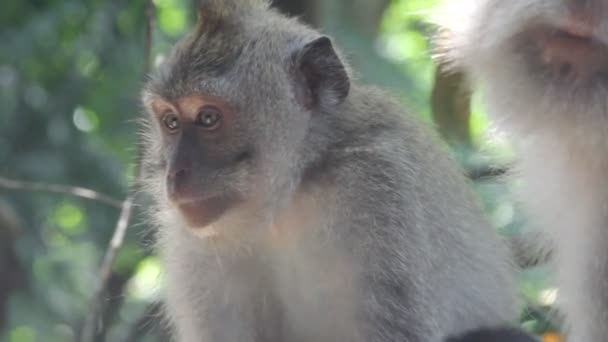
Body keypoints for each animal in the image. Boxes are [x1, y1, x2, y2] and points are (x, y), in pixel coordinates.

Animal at [140, 1, 520, 340]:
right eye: (171, 122)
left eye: (208, 118)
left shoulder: (377, 185)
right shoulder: (190, 239)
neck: (289, 195)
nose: (175, 174)